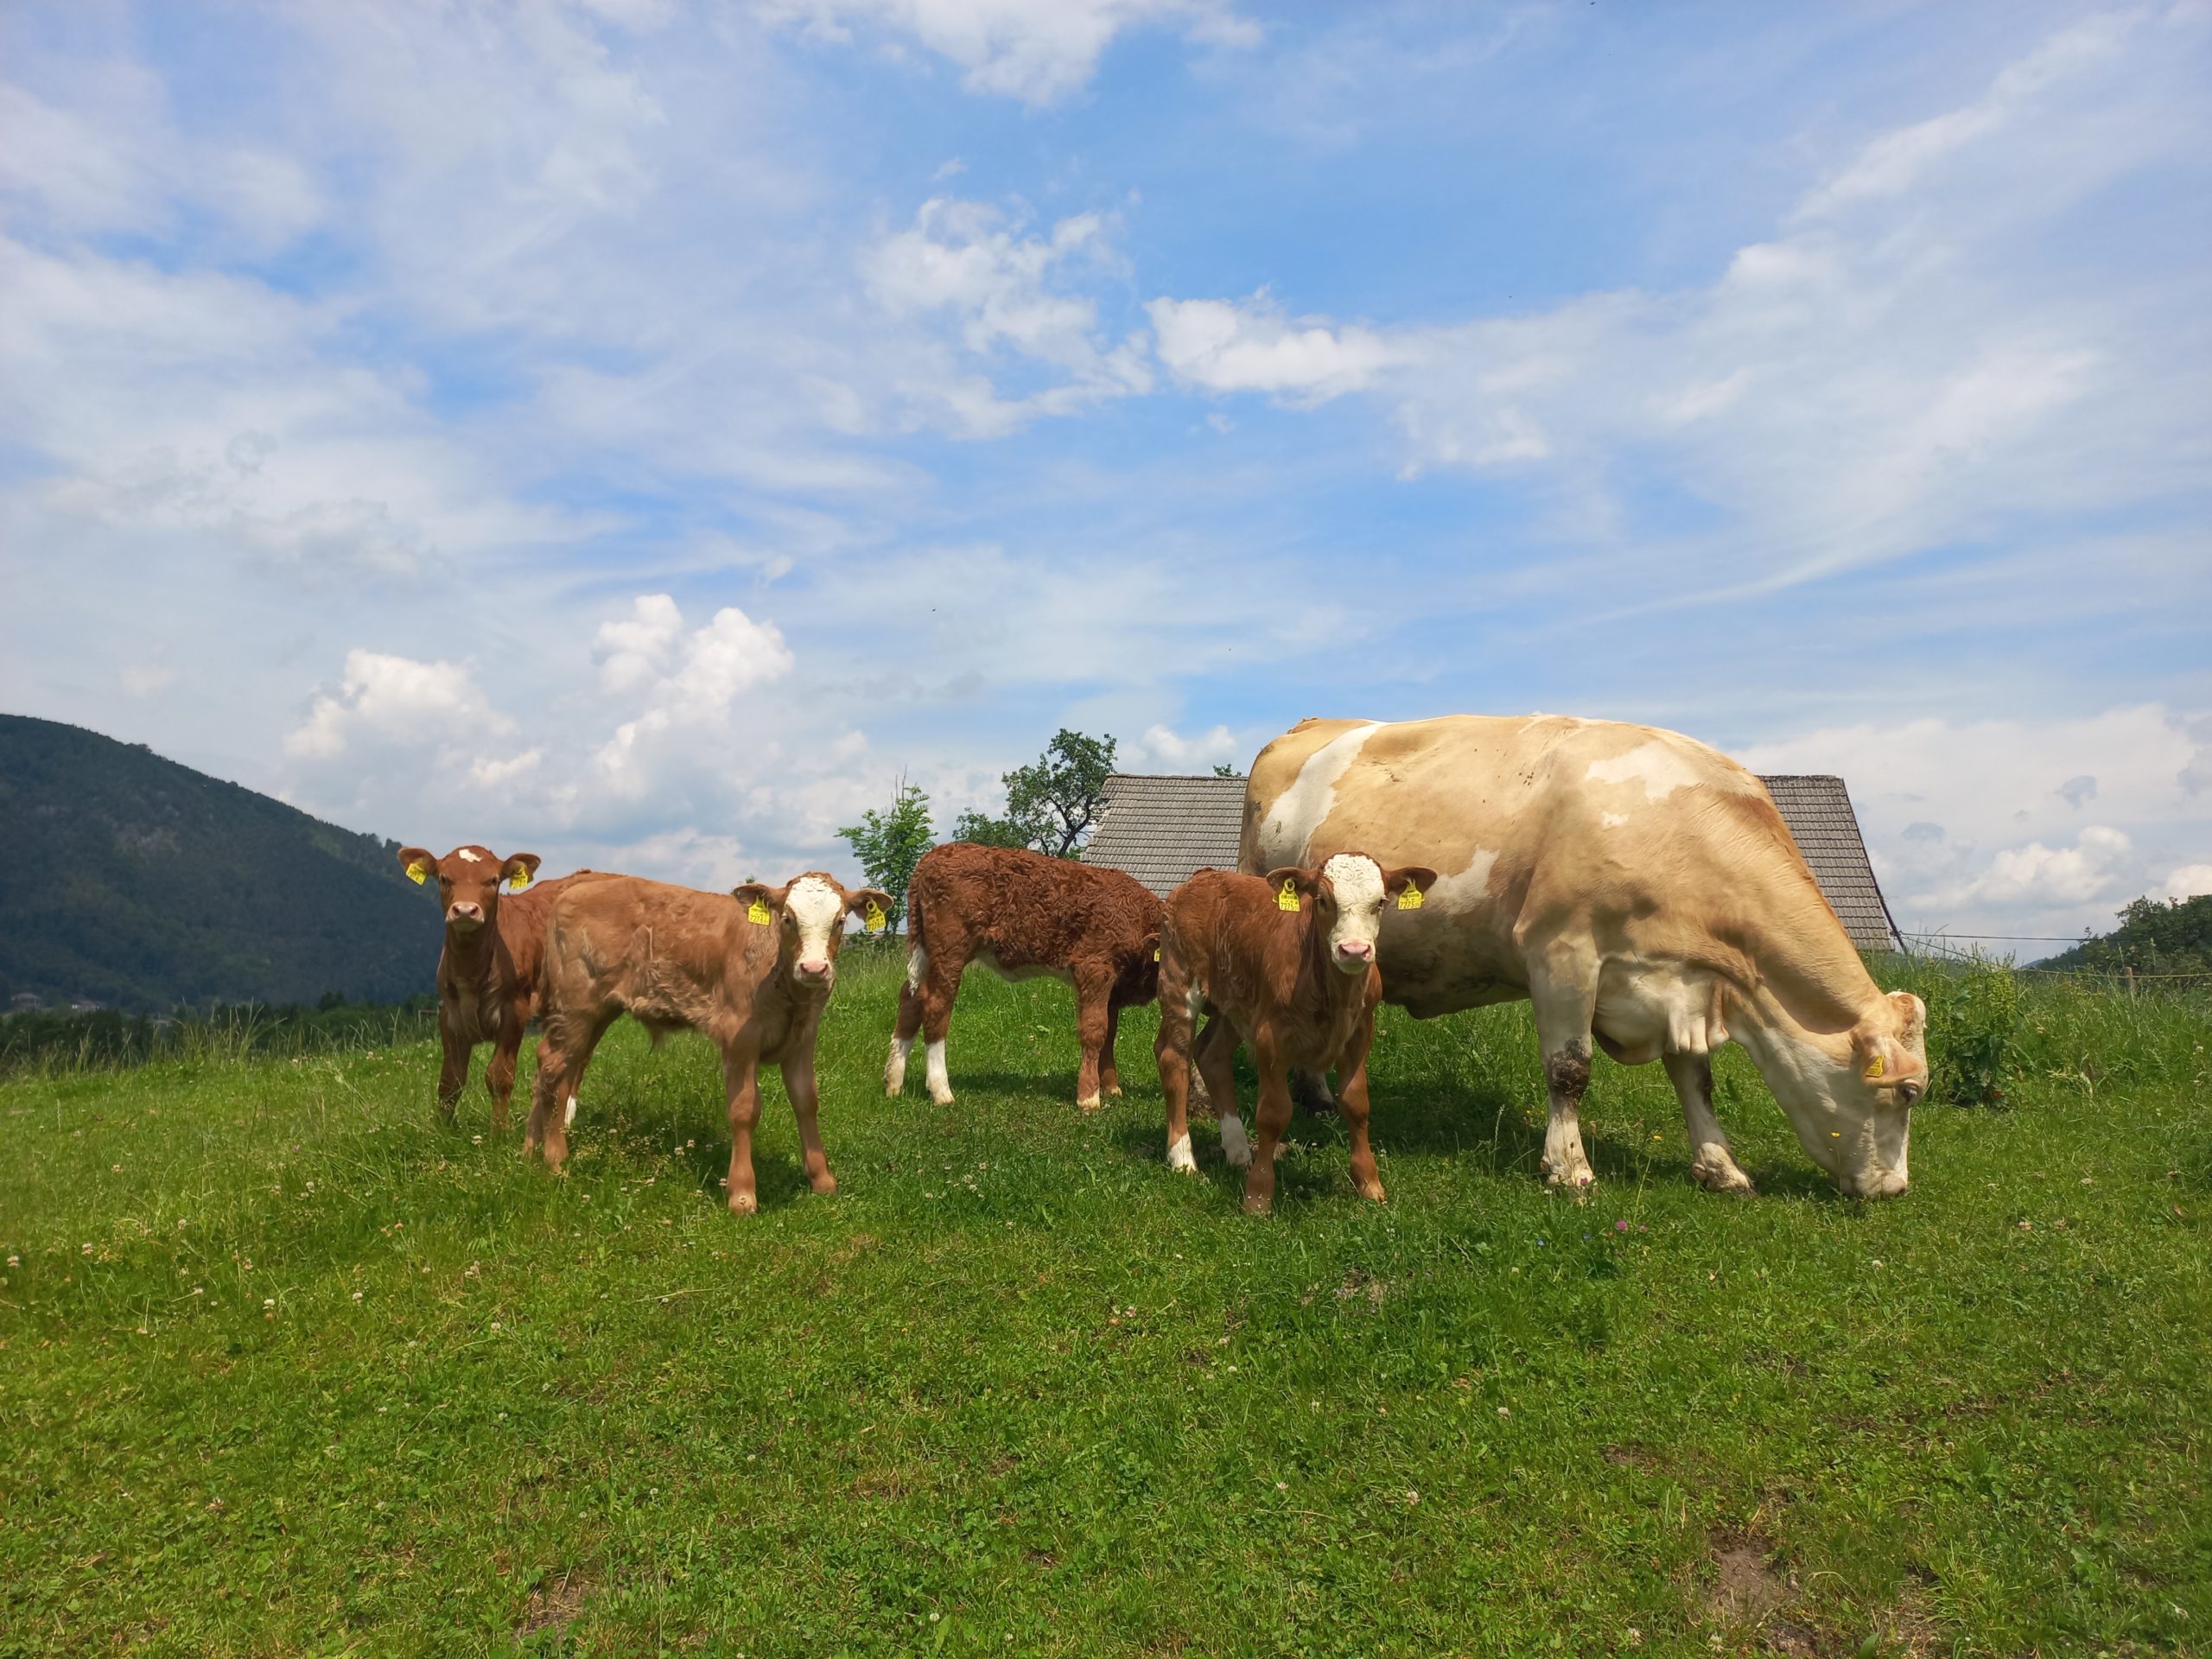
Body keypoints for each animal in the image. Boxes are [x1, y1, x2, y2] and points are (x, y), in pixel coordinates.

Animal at [526, 875, 889, 1211]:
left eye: (840, 921)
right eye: (787, 918)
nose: (814, 968)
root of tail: (580, 885)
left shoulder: (803, 1039)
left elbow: (806, 1101)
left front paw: (821, 1179)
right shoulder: (739, 1040)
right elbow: (744, 1110)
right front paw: (742, 1194)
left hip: (597, 1012)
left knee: (558, 1068)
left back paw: (532, 1149)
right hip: (576, 1005)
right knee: (553, 1067)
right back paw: (553, 1159)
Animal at [1150, 849, 1442, 1211]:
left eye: (1381, 902)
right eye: (1322, 900)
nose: (1355, 950)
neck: (1334, 994)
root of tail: (1203, 877)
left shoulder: (1361, 1030)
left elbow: (1357, 1103)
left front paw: (1369, 1184)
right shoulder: (1270, 1037)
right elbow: (1273, 1113)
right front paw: (1258, 1197)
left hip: (1235, 1003)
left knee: (1212, 1055)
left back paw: (1238, 1150)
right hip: (1179, 982)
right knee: (1173, 1057)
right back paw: (1183, 1158)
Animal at [1256, 712, 1929, 1194]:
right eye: (1909, 1093)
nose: (1895, 1189)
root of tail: (1310, 725)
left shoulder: (1683, 981)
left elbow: (1696, 1078)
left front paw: (1720, 1167)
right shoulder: (1563, 952)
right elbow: (1570, 1069)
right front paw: (1569, 1168)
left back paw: (1318, 1097)